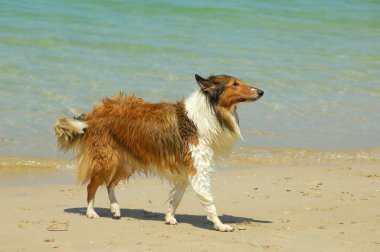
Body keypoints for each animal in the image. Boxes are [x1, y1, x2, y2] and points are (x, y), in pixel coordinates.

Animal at [55, 74, 262, 231]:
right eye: (235, 84)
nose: (261, 92)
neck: (209, 111)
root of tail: (93, 113)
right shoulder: (198, 170)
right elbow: (209, 201)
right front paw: (220, 225)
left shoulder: (185, 172)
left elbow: (176, 199)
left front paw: (169, 217)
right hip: (106, 159)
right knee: (92, 185)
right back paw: (91, 212)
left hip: (126, 162)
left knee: (110, 184)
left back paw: (115, 208)